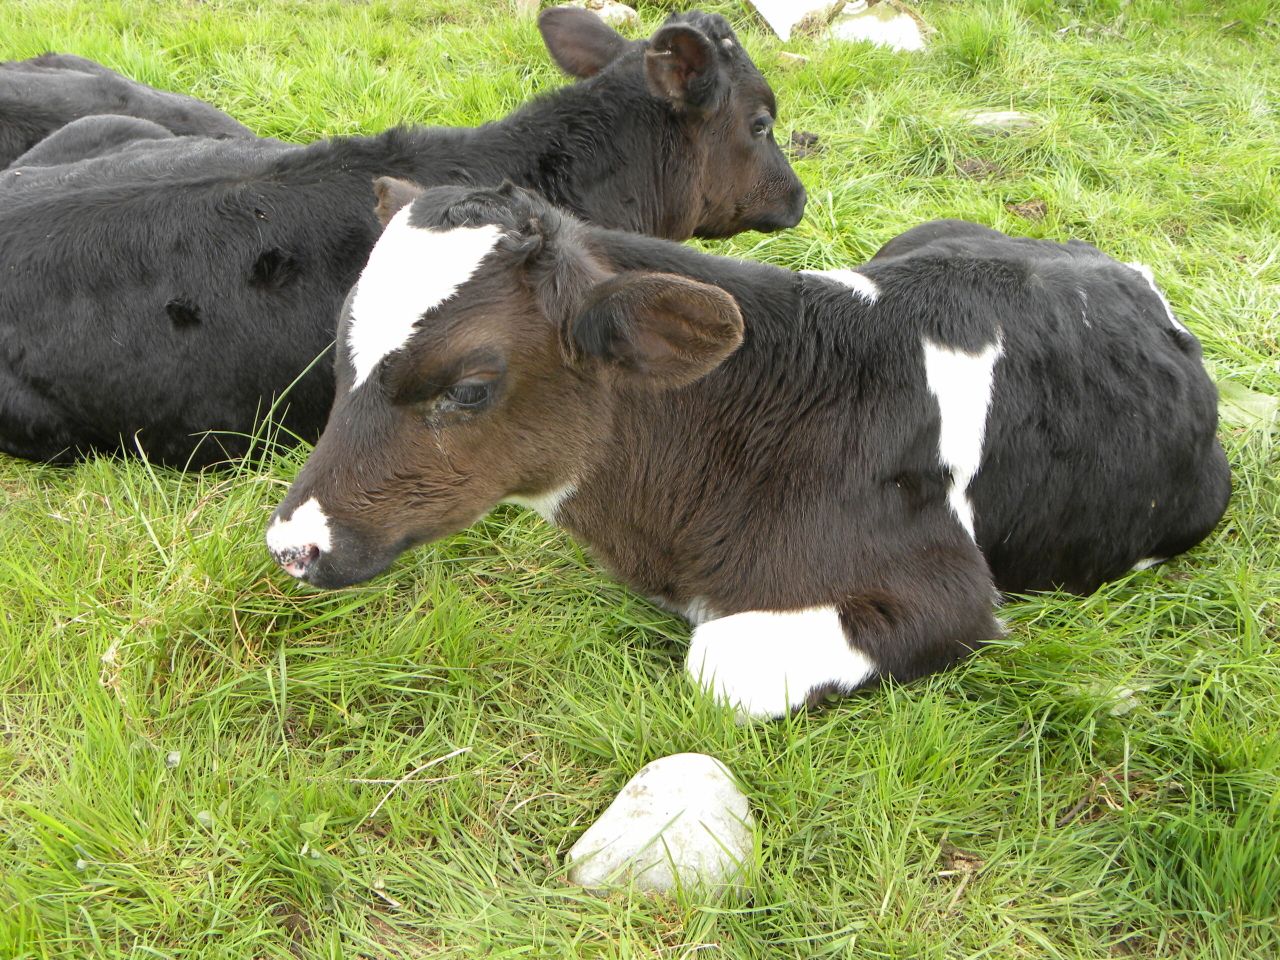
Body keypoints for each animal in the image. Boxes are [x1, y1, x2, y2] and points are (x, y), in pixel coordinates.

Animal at [266, 183, 1231, 720]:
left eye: (468, 387)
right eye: (341, 349)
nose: (292, 543)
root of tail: (1120, 270)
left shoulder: (952, 599)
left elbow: (718, 661)